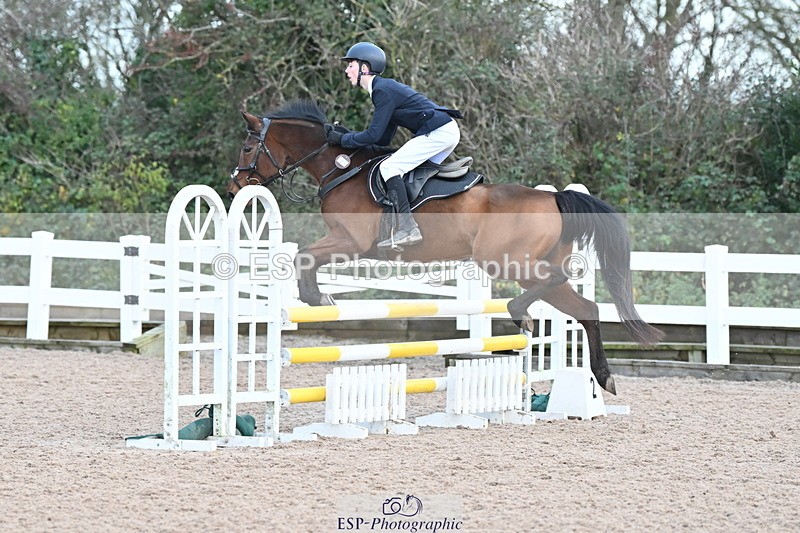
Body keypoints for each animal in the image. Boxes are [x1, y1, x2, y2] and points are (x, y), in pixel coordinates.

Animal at [228, 100, 663, 395]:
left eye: (248, 149)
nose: (235, 187)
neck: (342, 169)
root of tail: (554, 197)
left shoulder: (352, 241)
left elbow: (302, 256)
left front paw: (317, 299)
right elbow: (303, 257)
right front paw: (317, 298)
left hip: (506, 263)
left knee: (553, 281)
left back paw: (519, 314)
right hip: (524, 266)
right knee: (587, 308)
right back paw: (603, 378)